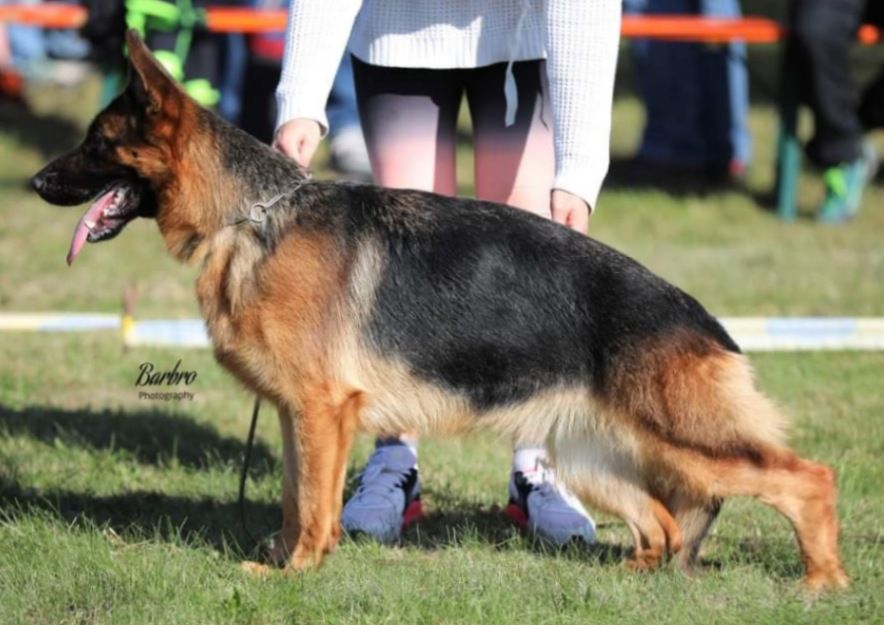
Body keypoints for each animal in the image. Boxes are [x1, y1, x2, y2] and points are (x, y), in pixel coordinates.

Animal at [32, 33, 848, 588]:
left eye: (96, 142)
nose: (36, 182)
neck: (249, 216)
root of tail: (705, 322)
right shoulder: (302, 414)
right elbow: (298, 496)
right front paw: (287, 558)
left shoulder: (321, 409)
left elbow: (313, 502)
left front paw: (297, 573)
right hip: (596, 457)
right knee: (666, 522)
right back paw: (628, 580)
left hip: (686, 436)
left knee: (807, 477)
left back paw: (822, 580)